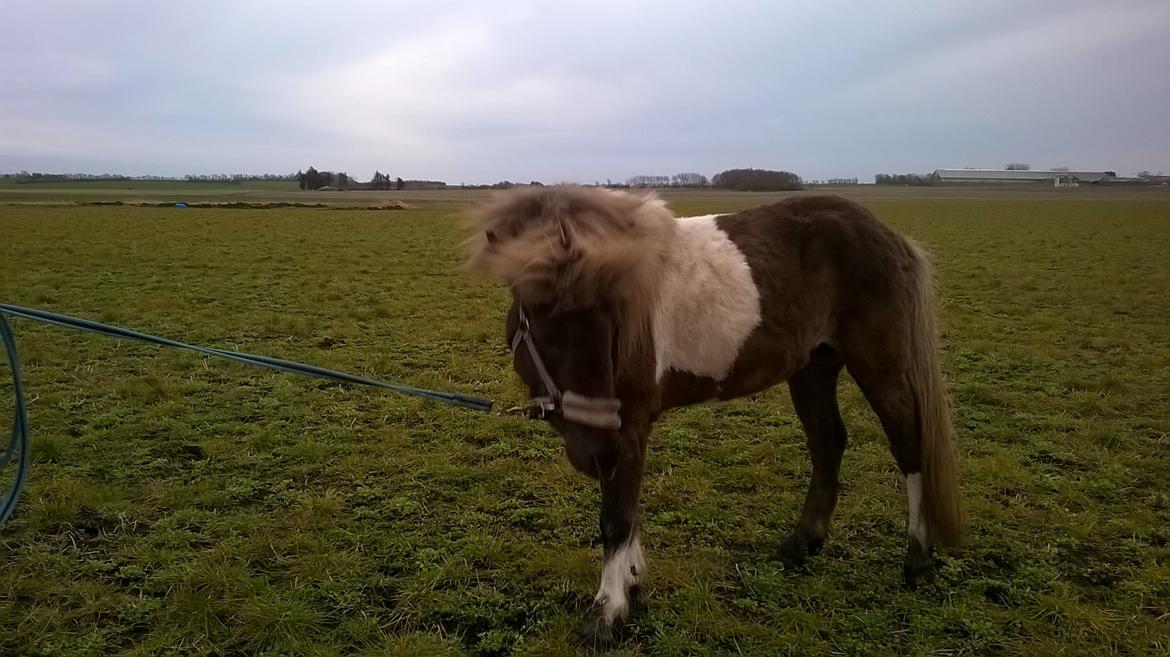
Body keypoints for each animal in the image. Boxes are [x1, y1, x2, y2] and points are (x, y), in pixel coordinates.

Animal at [463, 182, 959, 640]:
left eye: (611, 321)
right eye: (537, 321)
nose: (599, 454)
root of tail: (890, 236)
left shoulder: (629, 426)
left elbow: (616, 516)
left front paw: (610, 610)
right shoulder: (620, 433)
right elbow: (626, 505)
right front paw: (633, 581)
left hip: (879, 365)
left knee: (908, 444)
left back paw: (917, 559)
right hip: (813, 368)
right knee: (828, 441)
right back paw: (803, 543)